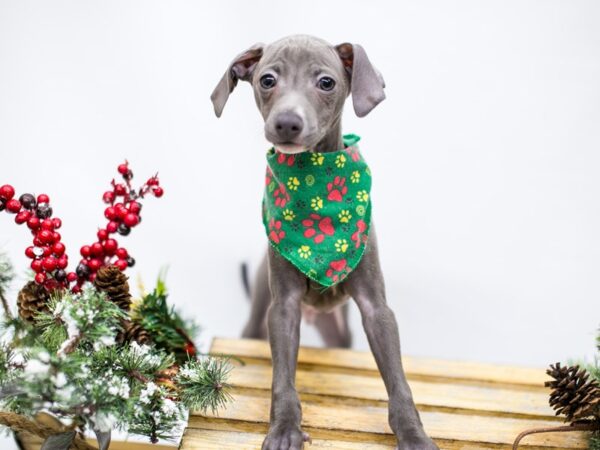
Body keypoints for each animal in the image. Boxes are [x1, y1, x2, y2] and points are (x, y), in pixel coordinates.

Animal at [213, 34, 438, 450]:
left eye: (326, 82)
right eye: (267, 80)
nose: (287, 122)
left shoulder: (376, 308)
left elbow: (398, 381)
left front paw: (414, 434)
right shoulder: (282, 308)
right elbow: (283, 378)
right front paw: (284, 428)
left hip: (341, 331)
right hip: (256, 316)